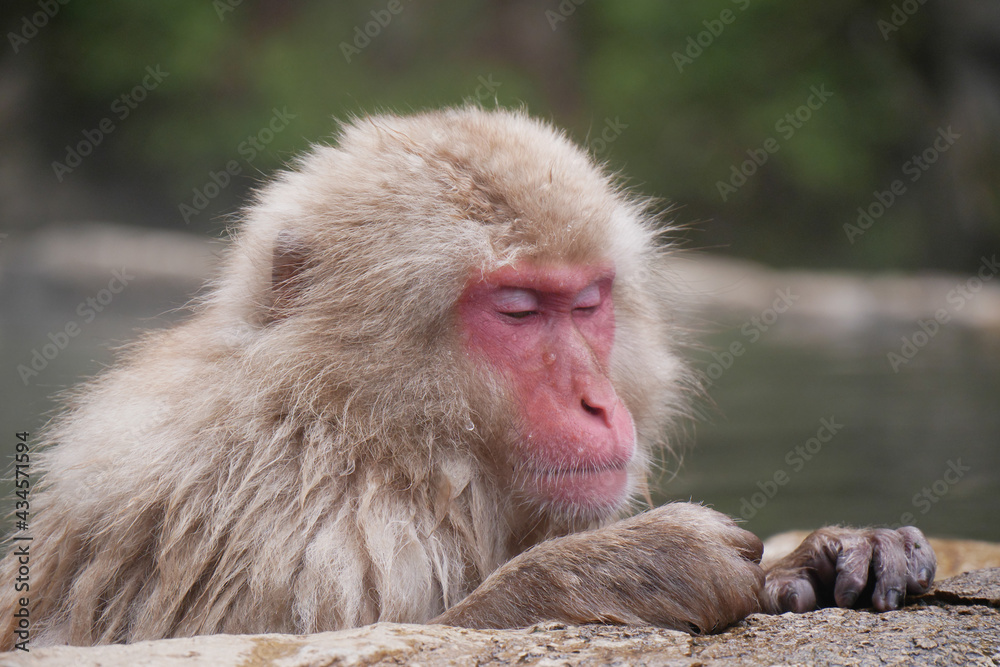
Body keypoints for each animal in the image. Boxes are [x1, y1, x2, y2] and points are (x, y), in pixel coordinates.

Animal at [0, 107, 935, 648]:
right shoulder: (286, 529)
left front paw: (832, 552)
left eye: (587, 302)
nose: (598, 401)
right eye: (518, 310)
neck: (359, 427)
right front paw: (638, 565)